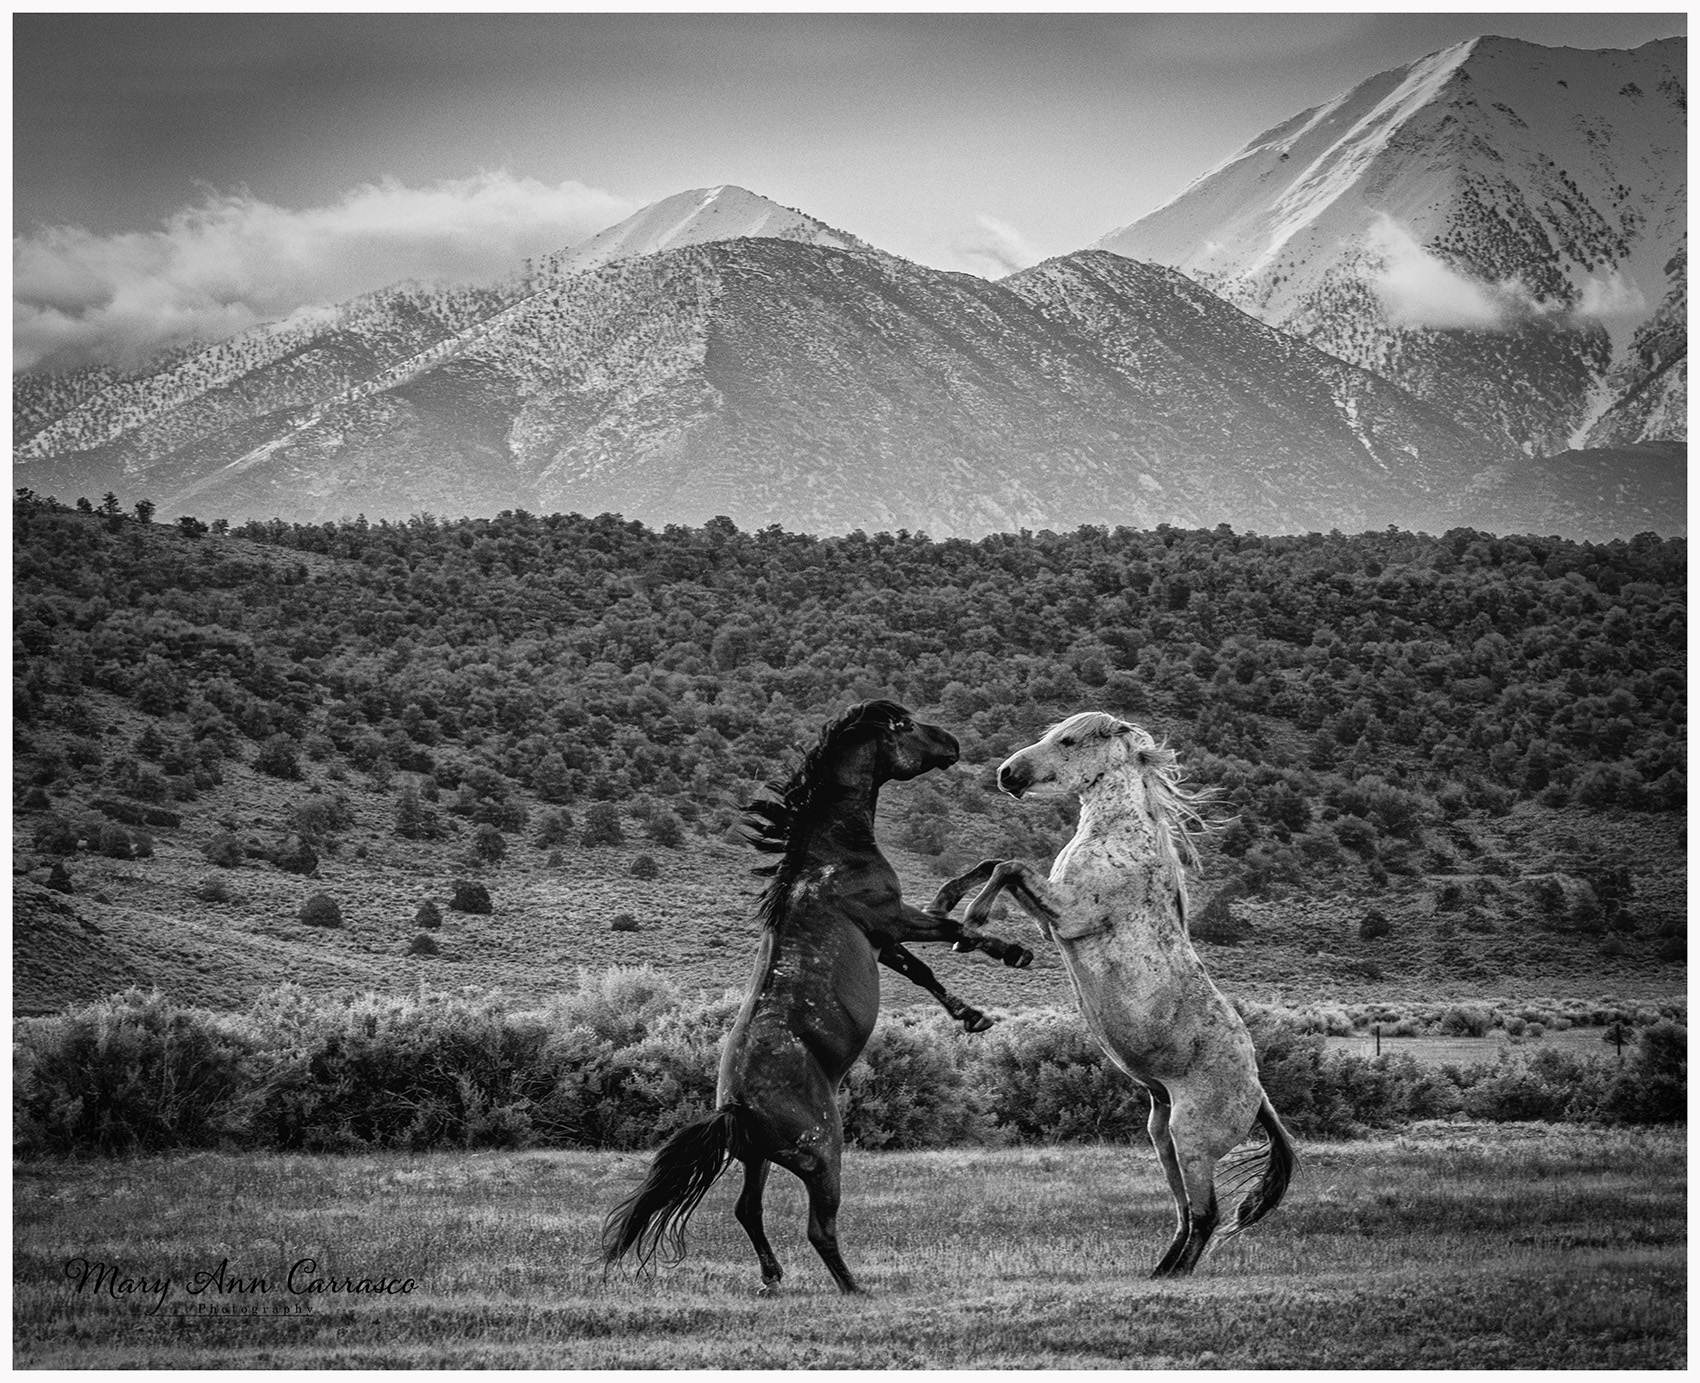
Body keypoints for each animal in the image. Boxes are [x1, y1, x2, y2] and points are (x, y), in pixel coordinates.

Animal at [602, 699, 1034, 1294]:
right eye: (905, 726)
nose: (952, 744)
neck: (830, 856)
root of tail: (736, 1106)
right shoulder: (889, 920)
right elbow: (955, 929)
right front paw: (1011, 951)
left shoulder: (884, 943)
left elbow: (929, 959)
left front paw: (971, 1015)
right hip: (823, 1154)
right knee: (817, 1228)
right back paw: (854, 1288)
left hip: (757, 1159)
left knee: (747, 1210)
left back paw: (772, 1277)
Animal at [930, 711, 1295, 1278]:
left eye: (1068, 740)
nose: (1007, 774)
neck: (1119, 837)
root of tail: (1258, 1097)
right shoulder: (1051, 918)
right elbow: (996, 863)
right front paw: (947, 902)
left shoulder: (1071, 913)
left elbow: (1009, 865)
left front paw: (970, 922)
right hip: (1162, 1135)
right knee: (1184, 1214)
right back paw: (1159, 1272)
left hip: (1192, 1141)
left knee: (1205, 1214)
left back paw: (1174, 1278)